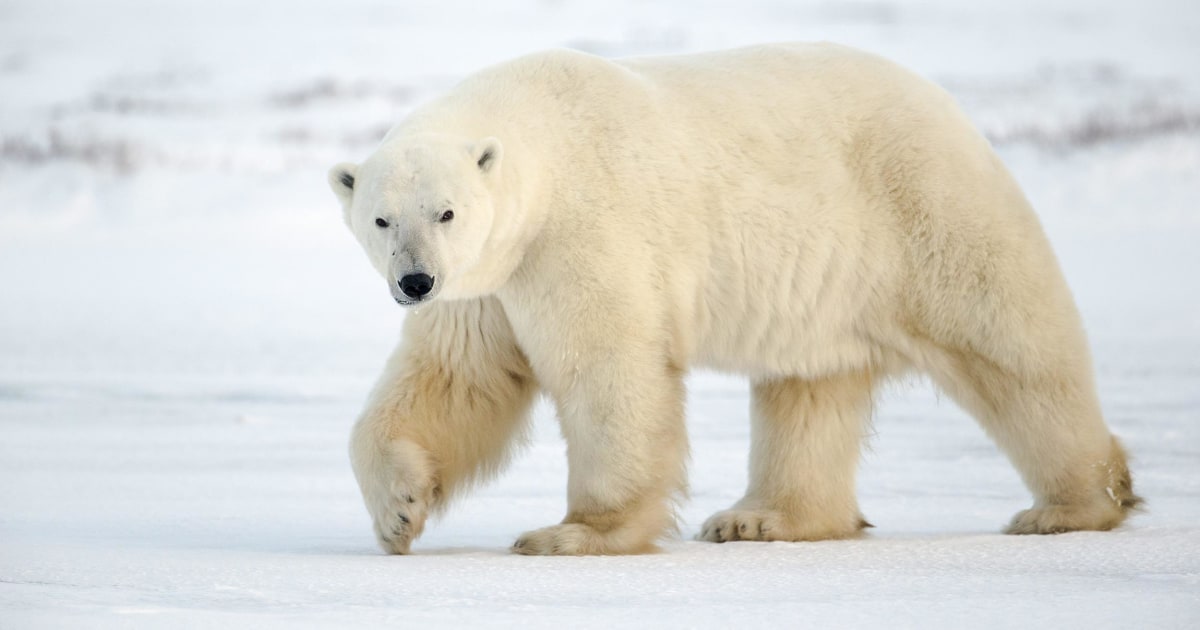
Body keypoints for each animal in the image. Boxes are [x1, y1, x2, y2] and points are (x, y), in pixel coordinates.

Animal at [328, 42, 1142, 554]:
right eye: (381, 218)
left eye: (446, 212)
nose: (414, 281)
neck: (544, 141)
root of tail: (953, 111)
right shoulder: (489, 281)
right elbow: (456, 379)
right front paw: (398, 512)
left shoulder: (579, 232)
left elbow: (608, 370)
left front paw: (574, 533)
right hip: (830, 285)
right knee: (809, 387)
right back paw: (761, 519)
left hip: (925, 209)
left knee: (1014, 349)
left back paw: (1072, 504)